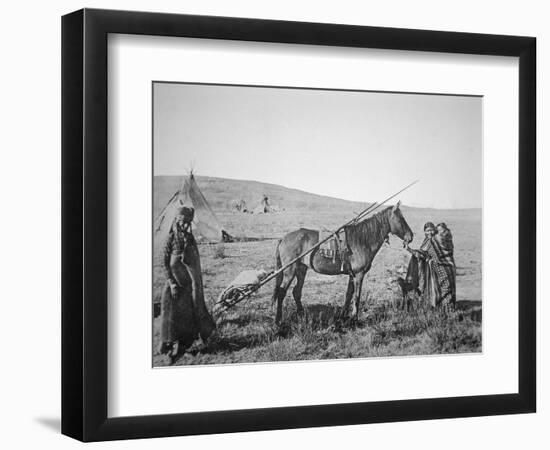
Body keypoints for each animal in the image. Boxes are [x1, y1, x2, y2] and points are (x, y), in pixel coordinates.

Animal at [272, 202, 414, 326]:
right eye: (401, 219)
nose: (411, 236)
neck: (363, 240)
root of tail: (283, 238)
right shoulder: (359, 274)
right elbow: (357, 296)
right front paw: (355, 318)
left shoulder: (352, 275)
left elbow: (348, 295)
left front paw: (343, 316)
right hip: (290, 271)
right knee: (281, 292)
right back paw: (278, 321)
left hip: (301, 270)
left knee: (296, 292)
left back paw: (302, 315)